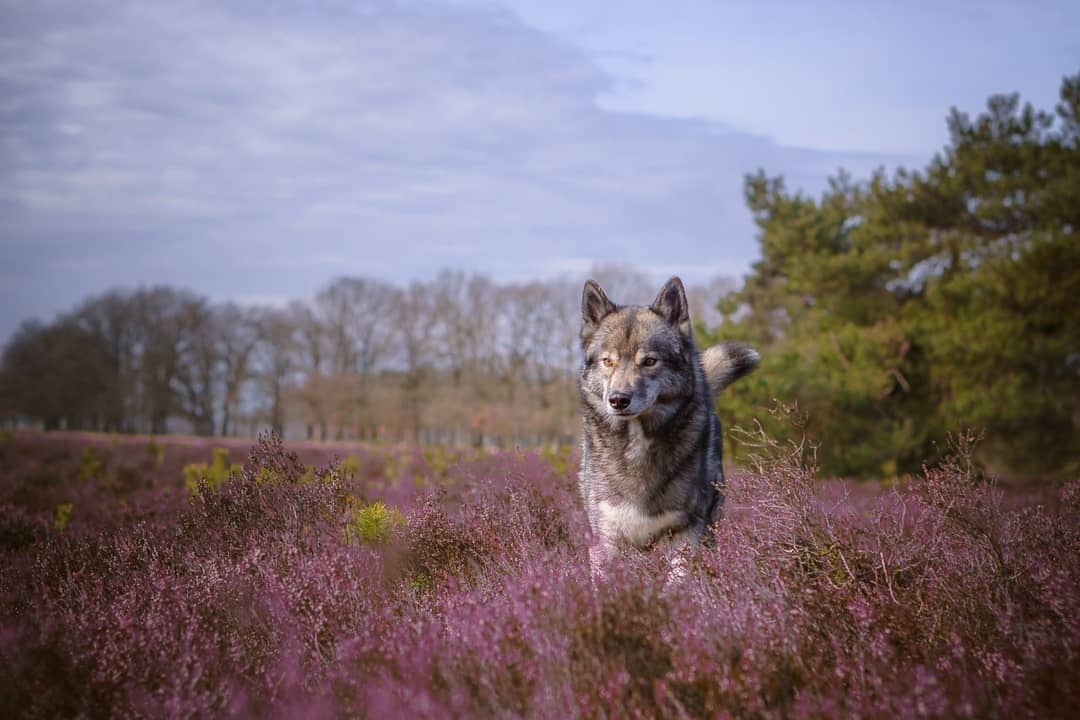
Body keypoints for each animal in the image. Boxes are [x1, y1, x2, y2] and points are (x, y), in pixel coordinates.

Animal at [574, 276, 760, 574]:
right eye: (608, 361)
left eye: (650, 361)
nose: (618, 400)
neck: (637, 445)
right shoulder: (606, 540)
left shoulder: (685, 535)